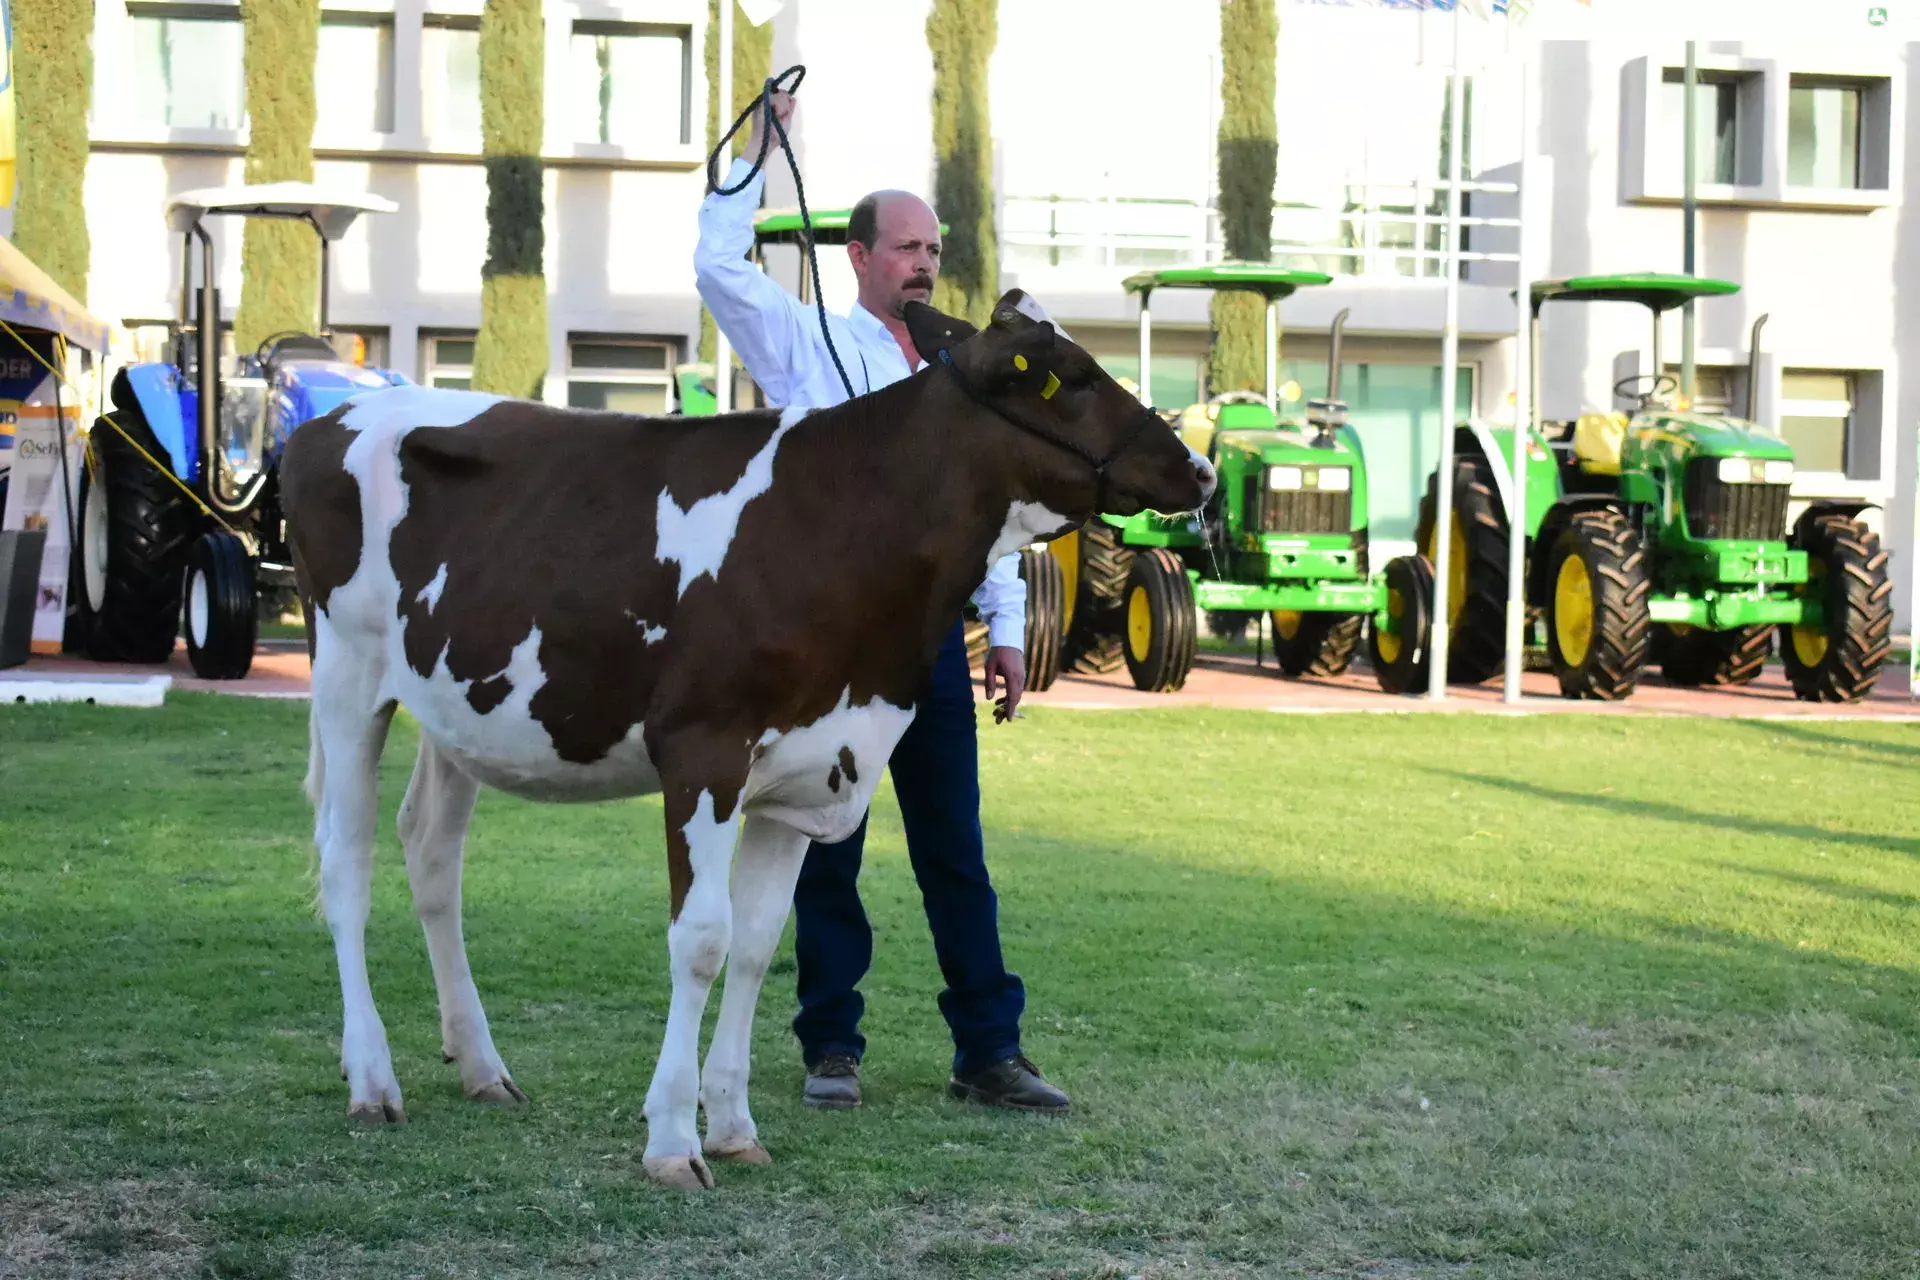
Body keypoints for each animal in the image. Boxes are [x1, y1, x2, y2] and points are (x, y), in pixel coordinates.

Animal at [278, 289, 1213, 1189]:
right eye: (1071, 376)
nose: (1199, 468)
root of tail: (332, 419)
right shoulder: (705, 751)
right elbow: (702, 942)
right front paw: (671, 1141)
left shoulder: (811, 772)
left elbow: (760, 948)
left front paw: (733, 1129)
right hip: (347, 676)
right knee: (345, 862)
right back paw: (372, 1080)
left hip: (456, 707)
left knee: (433, 857)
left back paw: (481, 1066)